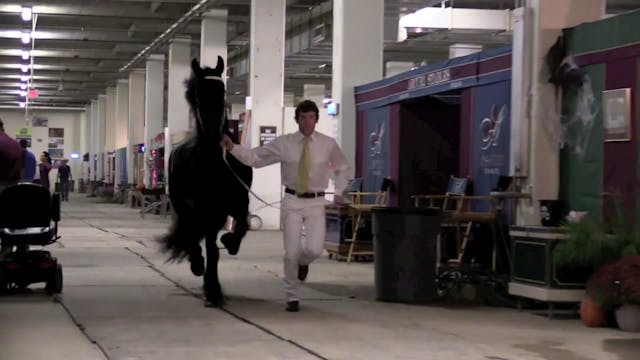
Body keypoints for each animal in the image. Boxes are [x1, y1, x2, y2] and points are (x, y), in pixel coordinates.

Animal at [158, 56, 252, 306]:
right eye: (198, 93)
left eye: (222, 90)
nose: (212, 133)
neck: (213, 163)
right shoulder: (205, 209)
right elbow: (208, 246)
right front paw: (211, 286)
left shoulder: (237, 203)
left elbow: (241, 226)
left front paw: (230, 241)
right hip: (182, 204)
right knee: (190, 230)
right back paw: (197, 264)